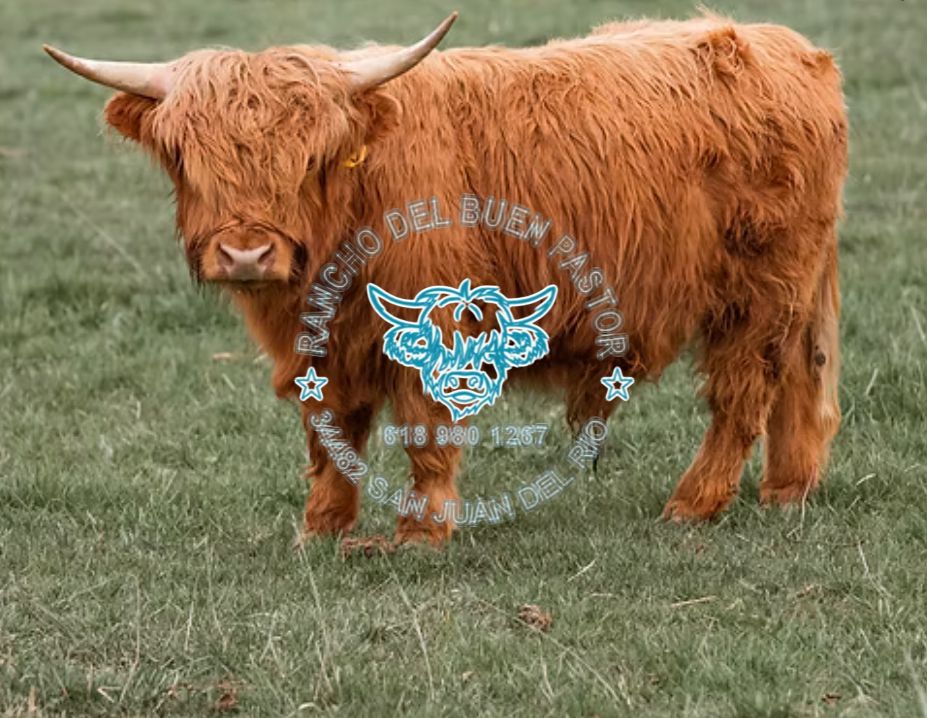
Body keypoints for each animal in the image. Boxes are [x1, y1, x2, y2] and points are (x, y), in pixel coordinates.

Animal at [45, 10, 848, 546]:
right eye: (187, 156)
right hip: (792, 291)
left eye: (311, 159)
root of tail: (789, 46)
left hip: (759, 293)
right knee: (800, 378)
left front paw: (420, 535)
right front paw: (321, 528)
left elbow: (425, 430)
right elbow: (328, 430)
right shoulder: (319, 344)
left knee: (743, 392)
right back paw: (786, 491)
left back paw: (695, 504)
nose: (247, 255)